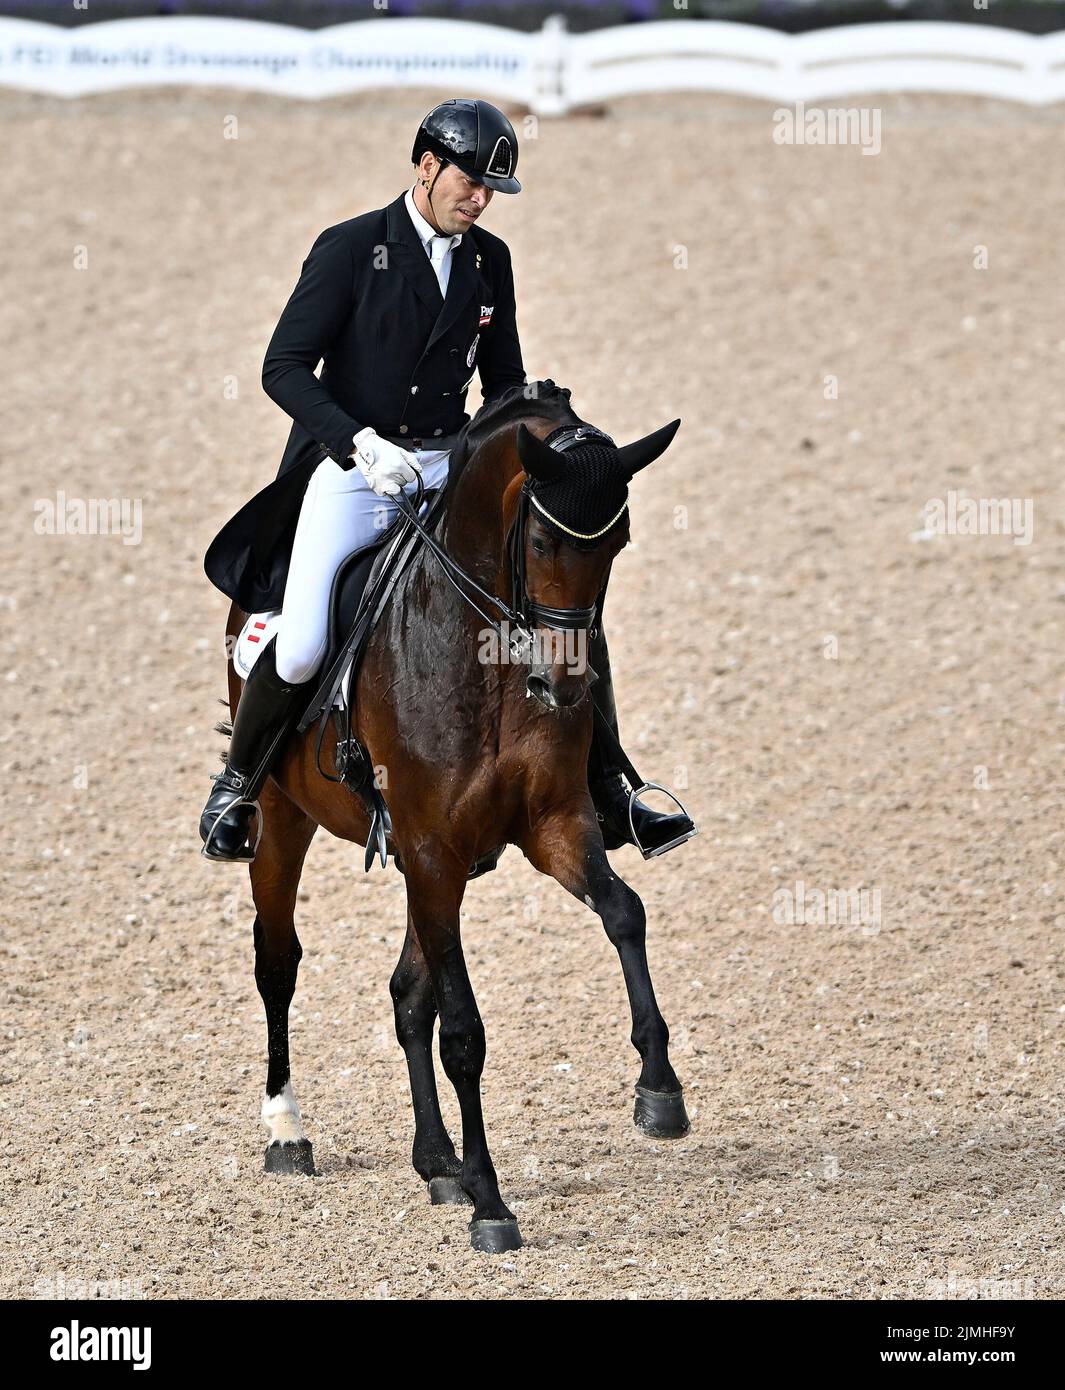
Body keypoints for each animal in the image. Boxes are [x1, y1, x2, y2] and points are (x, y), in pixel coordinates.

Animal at [223, 386, 692, 1256]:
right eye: (540, 538)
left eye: (619, 542)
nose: (561, 686)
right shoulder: (433, 849)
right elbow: (463, 1032)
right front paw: (491, 1203)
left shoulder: (551, 825)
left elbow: (624, 914)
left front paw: (658, 1091)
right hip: (283, 818)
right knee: (279, 962)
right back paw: (288, 1132)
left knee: (407, 993)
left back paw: (435, 1161)